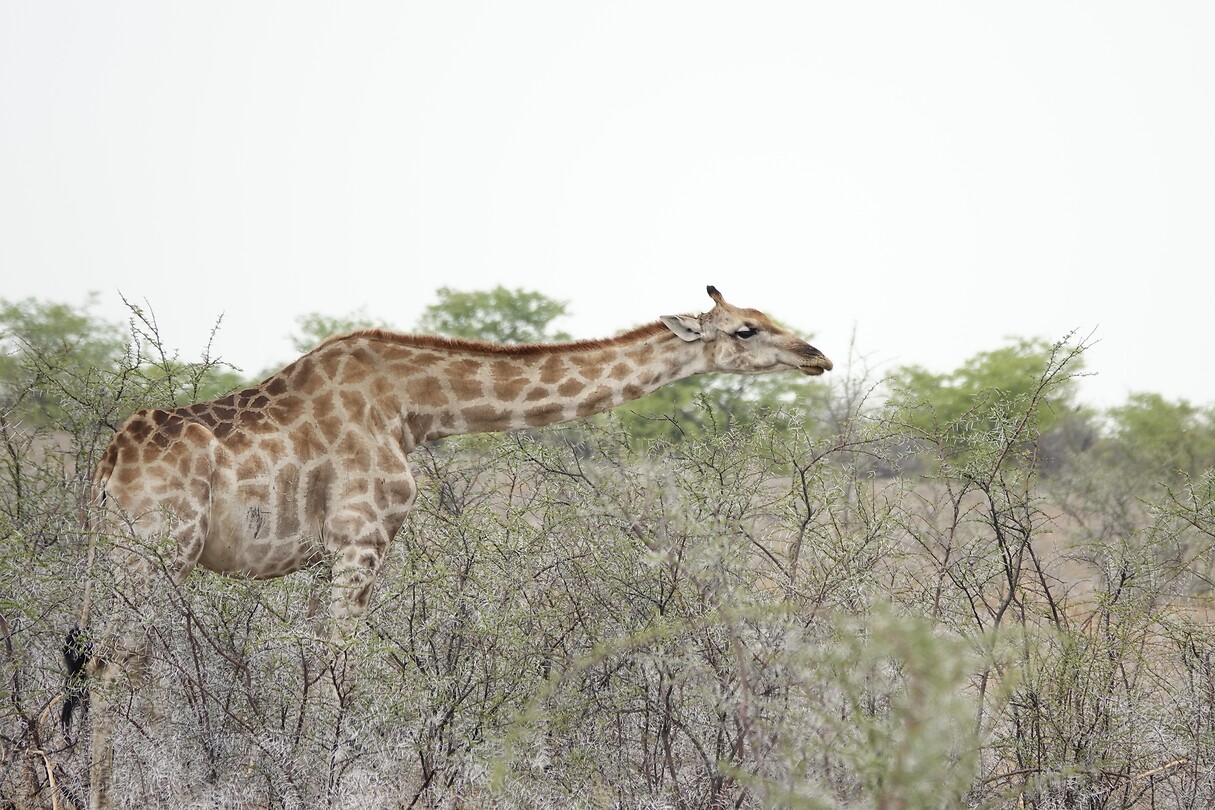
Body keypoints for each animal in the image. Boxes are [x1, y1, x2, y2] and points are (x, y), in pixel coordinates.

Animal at [64, 285, 831, 807]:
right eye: (745, 329)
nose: (816, 356)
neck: (417, 408)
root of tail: (107, 465)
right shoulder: (362, 536)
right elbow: (343, 673)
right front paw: (327, 782)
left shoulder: (329, 554)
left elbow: (318, 669)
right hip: (155, 551)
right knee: (109, 664)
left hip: (144, 559)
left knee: (124, 663)